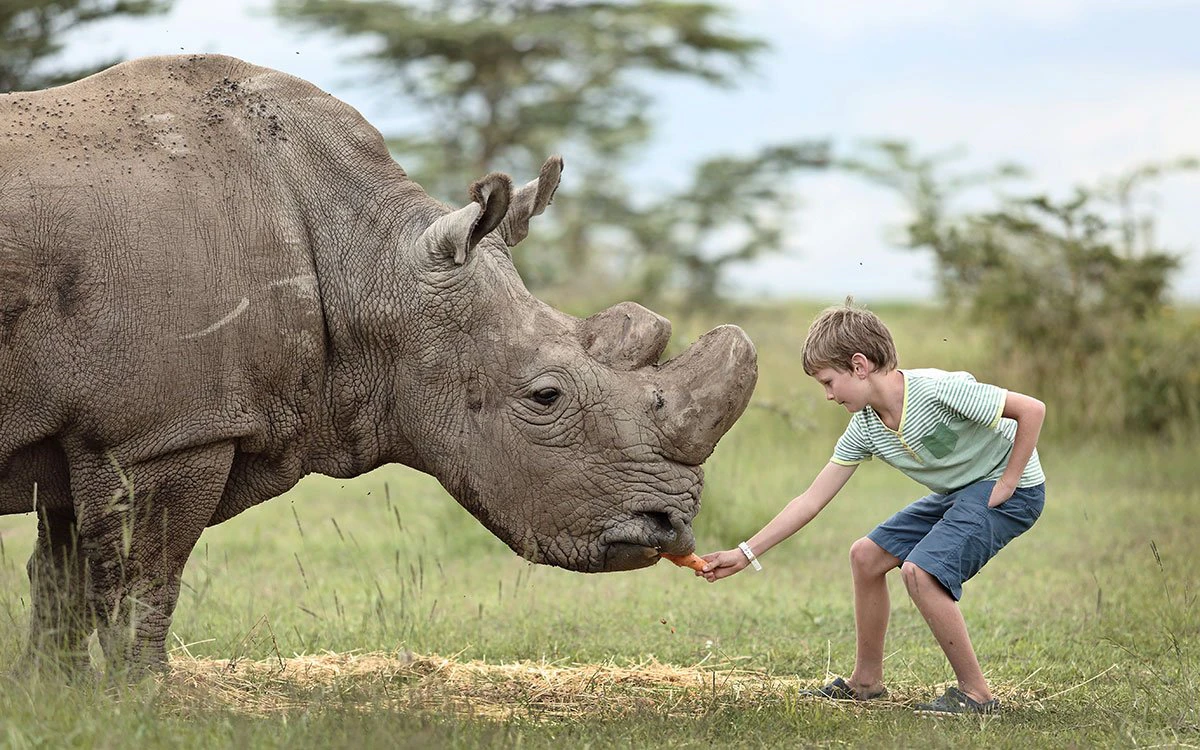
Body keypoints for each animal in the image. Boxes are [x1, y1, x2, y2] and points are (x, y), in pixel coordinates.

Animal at [0, 54, 756, 675]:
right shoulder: (163, 432)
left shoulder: (90, 430)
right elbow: (141, 586)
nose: (668, 527)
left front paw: (56, 700)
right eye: (546, 398)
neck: (367, 258)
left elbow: (63, 584)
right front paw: (143, 703)